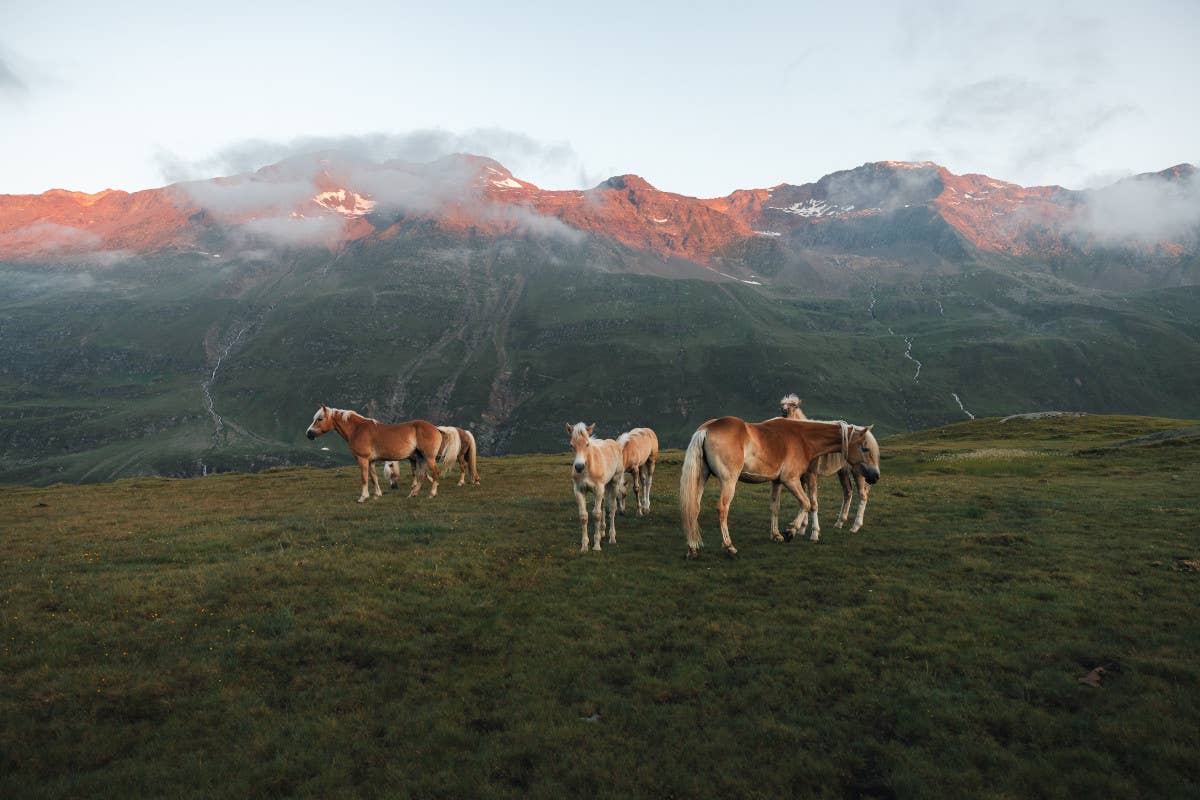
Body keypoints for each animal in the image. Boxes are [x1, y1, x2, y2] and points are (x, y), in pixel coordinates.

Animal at [307, 407, 444, 501]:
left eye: (319, 419)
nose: (308, 434)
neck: (357, 429)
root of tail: (435, 428)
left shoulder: (362, 459)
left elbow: (364, 478)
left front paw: (363, 497)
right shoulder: (371, 461)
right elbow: (373, 478)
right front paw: (377, 494)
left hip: (429, 458)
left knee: (434, 473)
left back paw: (431, 494)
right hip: (421, 458)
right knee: (421, 476)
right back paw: (413, 494)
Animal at [568, 422, 628, 554]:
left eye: (587, 444)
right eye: (571, 445)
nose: (579, 467)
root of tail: (614, 443)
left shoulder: (599, 489)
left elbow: (596, 515)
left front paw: (596, 546)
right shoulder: (578, 490)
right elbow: (584, 516)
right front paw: (584, 546)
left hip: (614, 483)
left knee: (612, 508)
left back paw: (612, 537)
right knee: (603, 507)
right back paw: (602, 532)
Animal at [681, 417, 878, 561]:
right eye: (865, 448)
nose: (875, 476)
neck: (802, 438)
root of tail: (707, 429)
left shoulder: (776, 482)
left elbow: (775, 508)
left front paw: (776, 535)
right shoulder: (790, 480)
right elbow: (807, 503)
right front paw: (791, 531)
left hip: (702, 477)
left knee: (694, 508)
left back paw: (692, 548)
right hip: (729, 481)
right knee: (722, 509)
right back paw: (729, 546)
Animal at [782, 395, 878, 542]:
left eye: (794, 406)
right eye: (782, 406)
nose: (784, 412)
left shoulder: (811, 475)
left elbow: (813, 502)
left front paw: (814, 533)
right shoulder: (801, 478)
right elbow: (804, 501)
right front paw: (802, 528)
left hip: (858, 472)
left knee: (862, 495)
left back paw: (855, 526)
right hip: (842, 472)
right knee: (848, 492)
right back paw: (840, 522)